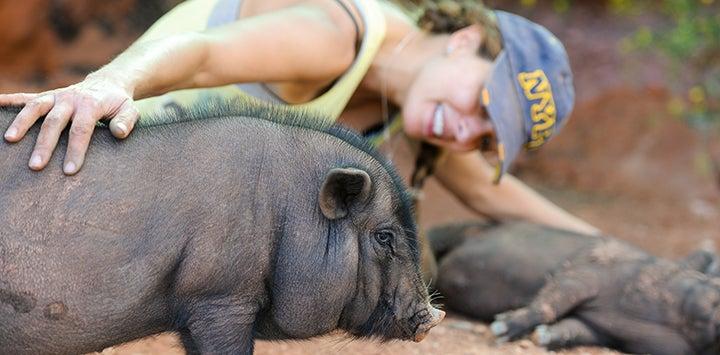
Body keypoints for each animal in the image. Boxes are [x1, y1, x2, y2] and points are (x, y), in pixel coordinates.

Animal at [430, 222, 716, 355]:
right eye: (715, 284)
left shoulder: (602, 332)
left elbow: (574, 329)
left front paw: (542, 337)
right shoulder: (585, 275)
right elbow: (551, 303)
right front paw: (501, 328)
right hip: (463, 230)